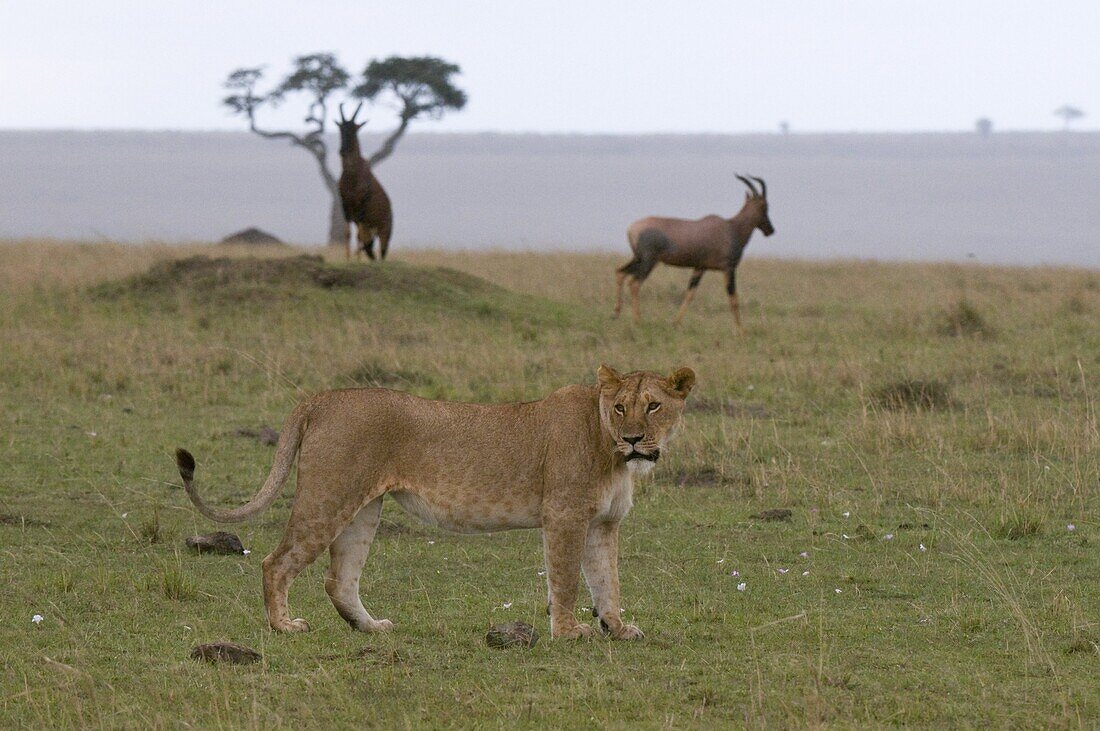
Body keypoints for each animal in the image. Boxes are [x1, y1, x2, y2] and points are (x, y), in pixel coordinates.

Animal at [336, 102, 393, 260]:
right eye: (341, 128)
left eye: (355, 128)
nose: (342, 151)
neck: (352, 177)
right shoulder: (346, 207)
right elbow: (348, 233)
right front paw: (348, 259)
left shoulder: (361, 208)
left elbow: (358, 236)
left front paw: (357, 260)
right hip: (370, 228)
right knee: (369, 247)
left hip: (384, 232)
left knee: (380, 252)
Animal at [611, 173, 774, 329]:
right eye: (764, 206)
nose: (770, 230)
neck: (732, 227)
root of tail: (632, 228)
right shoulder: (729, 269)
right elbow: (733, 299)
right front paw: (741, 332)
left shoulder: (700, 268)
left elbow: (689, 294)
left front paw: (675, 324)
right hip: (648, 261)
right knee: (634, 284)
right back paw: (638, 321)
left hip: (638, 258)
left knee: (620, 272)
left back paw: (617, 313)